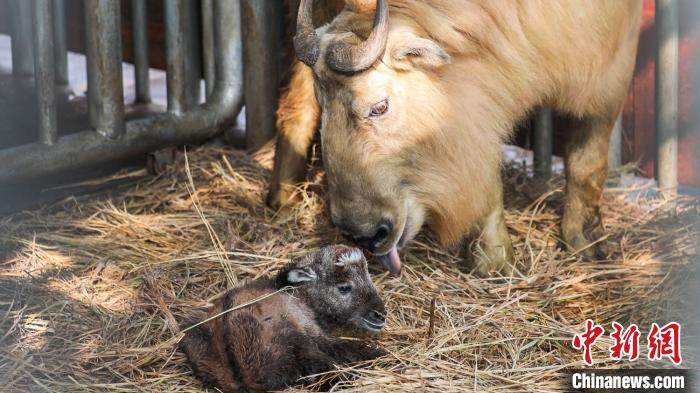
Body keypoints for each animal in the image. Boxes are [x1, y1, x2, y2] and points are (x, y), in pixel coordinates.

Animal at [180, 243, 386, 390]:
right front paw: (379, 354)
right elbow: (346, 347)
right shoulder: (310, 329)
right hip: (292, 340)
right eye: (344, 287)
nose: (380, 314)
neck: (297, 295)